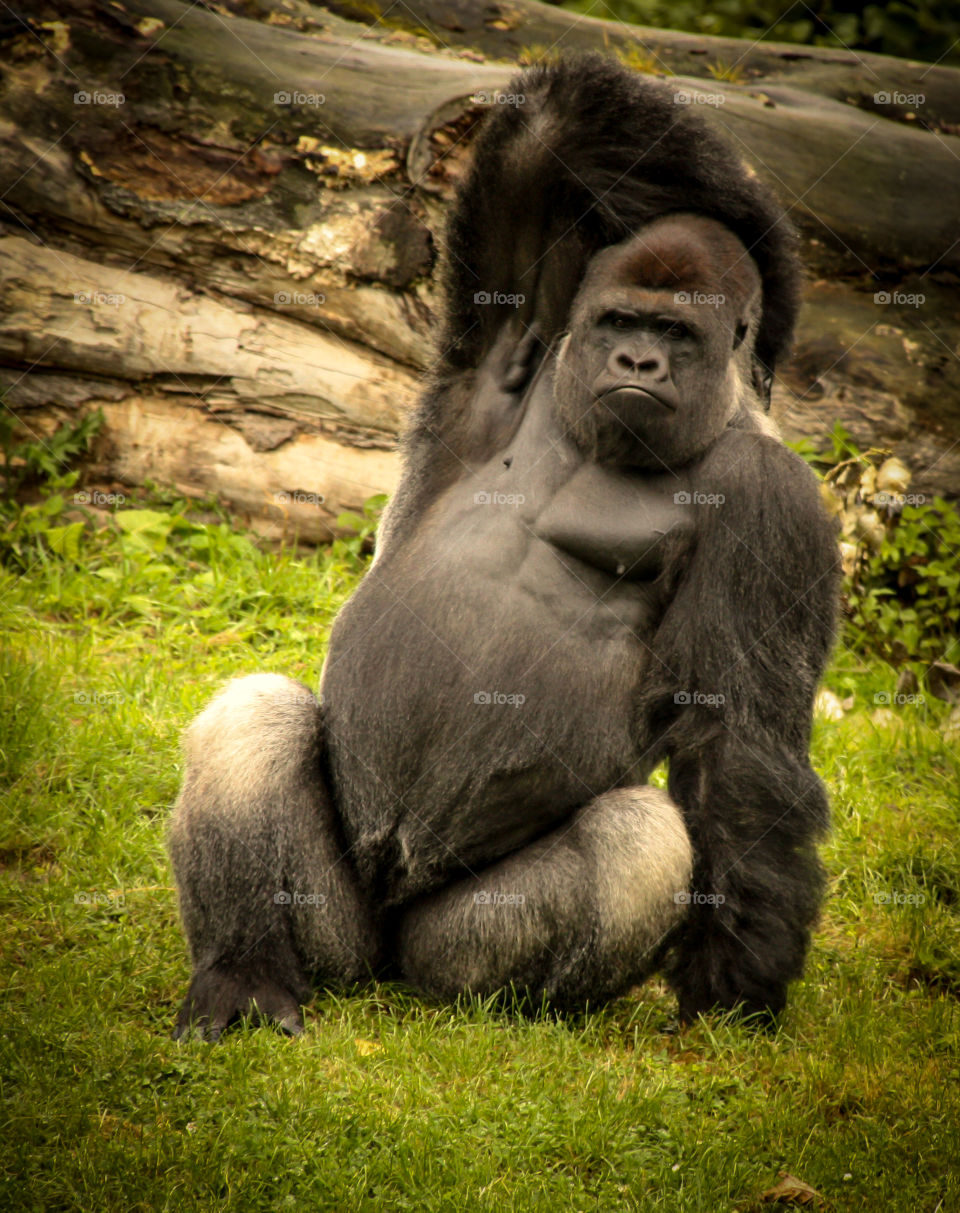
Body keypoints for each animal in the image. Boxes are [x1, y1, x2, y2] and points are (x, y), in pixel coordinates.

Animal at [168, 59, 834, 1043]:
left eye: (677, 335)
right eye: (620, 322)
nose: (638, 363)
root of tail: (383, 960)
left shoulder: (776, 501)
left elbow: (738, 743)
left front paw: (733, 980)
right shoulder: (519, 340)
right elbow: (549, 138)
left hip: (441, 951)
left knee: (632, 841)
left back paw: (514, 1007)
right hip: (339, 936)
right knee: (257, 714)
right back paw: (245, 970)